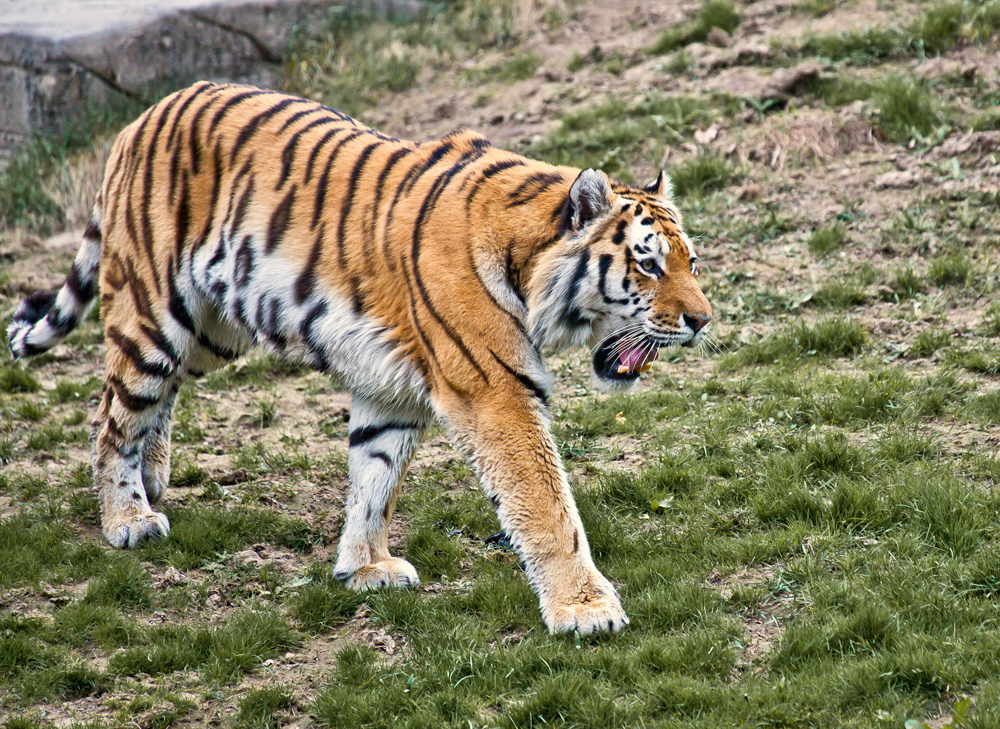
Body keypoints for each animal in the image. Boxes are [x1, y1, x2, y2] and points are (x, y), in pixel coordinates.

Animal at [7, 82, 712, 636]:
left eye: (692, 262)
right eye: (648, 266)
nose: (704, 321)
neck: (528, 262)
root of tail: (139, 120)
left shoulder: (391, 390)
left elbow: (375, 479)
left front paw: (364, 566)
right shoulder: (496, 392)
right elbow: (546, 507)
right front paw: (586, 610)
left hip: (212, 333)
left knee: (159, 395)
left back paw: (153, 479)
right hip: (154, 316)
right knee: (109, 414)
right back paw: (128, 517)